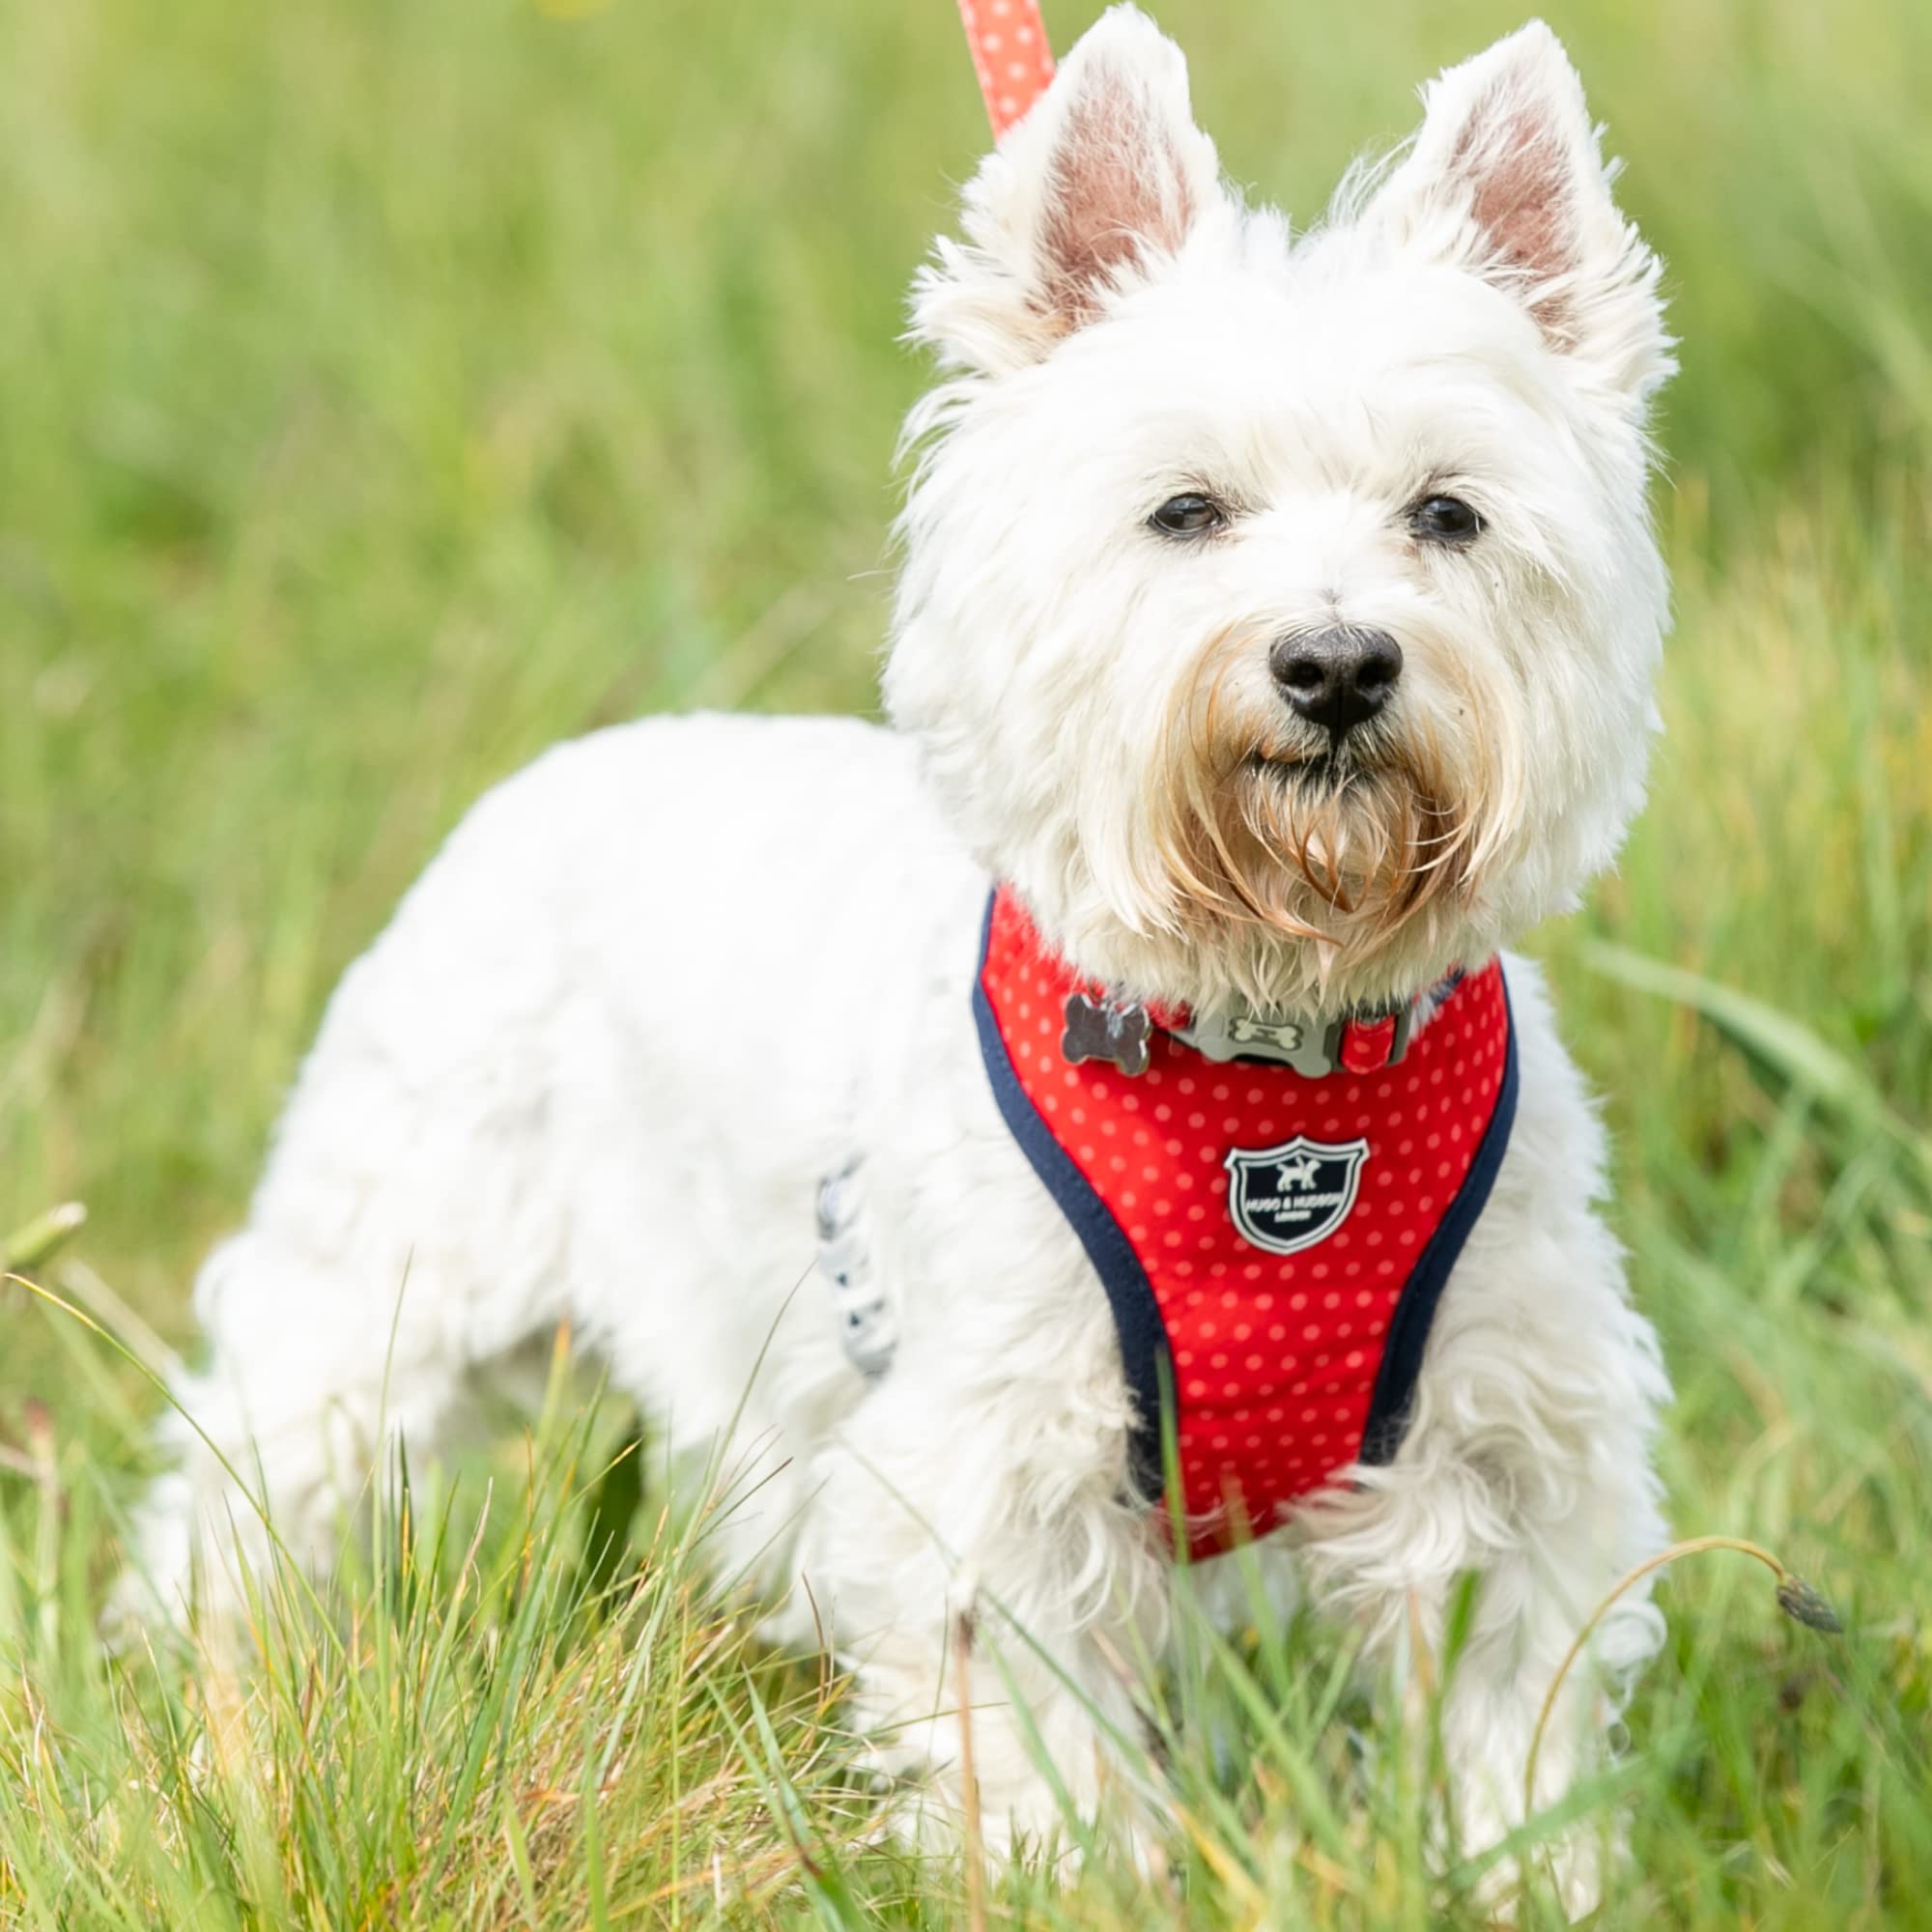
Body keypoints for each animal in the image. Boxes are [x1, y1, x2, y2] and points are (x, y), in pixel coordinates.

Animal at [128, 11, 1685, 1917]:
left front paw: (1538, 1882)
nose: (1334, 665)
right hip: (390, 1256)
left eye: (1448, 516)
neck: (1266, 1051)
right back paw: (203, 1696)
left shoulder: (1511, 1448)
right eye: (1186, 511)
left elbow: (1510, 1737)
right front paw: (1070, 1884)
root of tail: (580, 760)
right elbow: (1037, 1756)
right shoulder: (986, 1470)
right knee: (252, 1476)